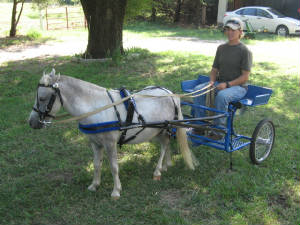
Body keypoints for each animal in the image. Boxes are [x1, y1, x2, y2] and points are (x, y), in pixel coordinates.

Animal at [28, 69, 197, 199]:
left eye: (42, 98)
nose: (32, 122)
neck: (96, 108)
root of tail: (170, 94)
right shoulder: (95, 143)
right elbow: (96, 164)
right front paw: (94, 185)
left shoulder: (110, 144)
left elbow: (114, 167)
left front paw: (116, 191)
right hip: (159, 129)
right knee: (166, 144)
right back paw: (166, 165)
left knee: (163, 147)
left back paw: (157, 170)